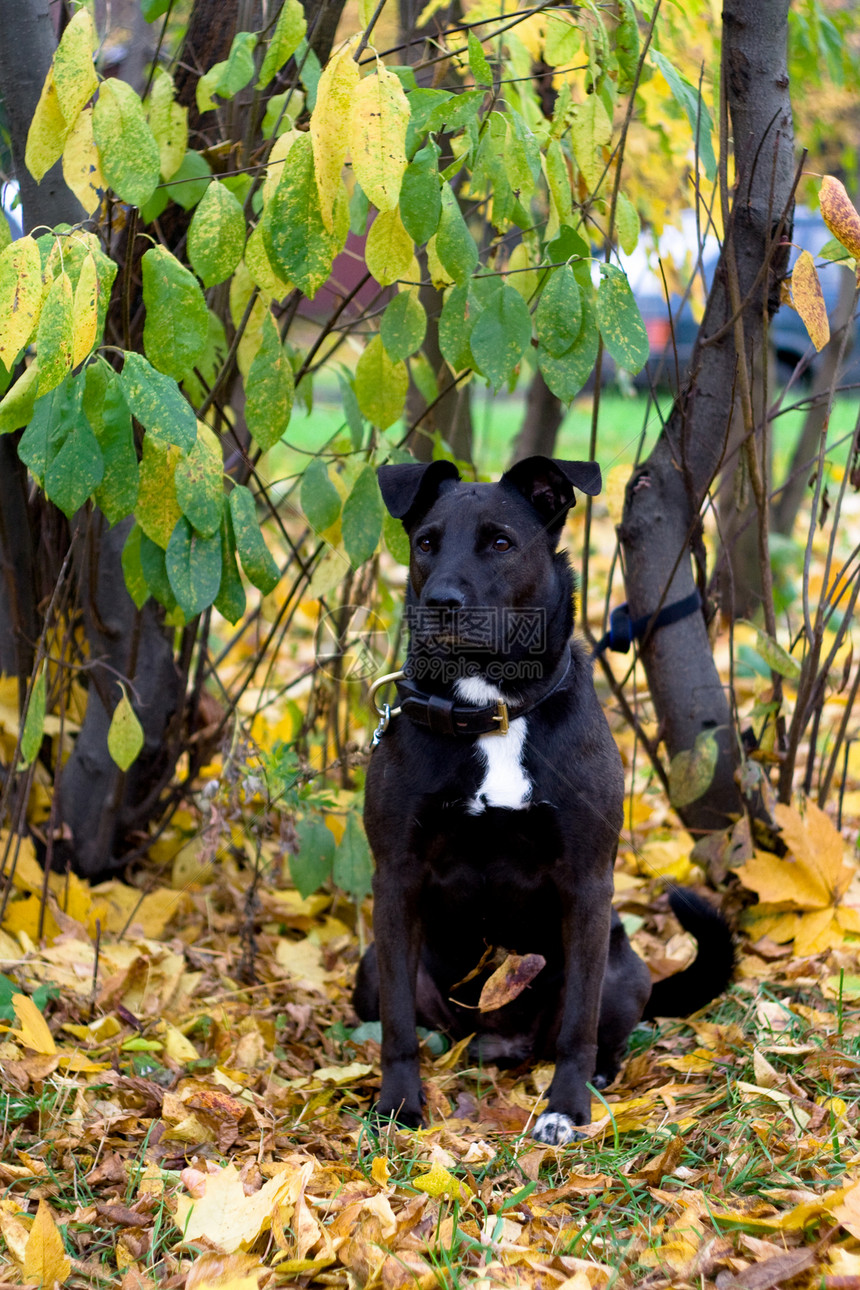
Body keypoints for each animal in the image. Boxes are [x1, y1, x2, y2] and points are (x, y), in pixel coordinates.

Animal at [355, 459, 732, 1145]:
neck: (492, 710)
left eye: (501, 543)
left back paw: (600, 1073)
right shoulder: (395, 876)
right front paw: (398, 1105)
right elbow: (395, 1024)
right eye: (425, 542)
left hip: (621, 970)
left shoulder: (586, 882)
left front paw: (566, 1107)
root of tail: (499, 1042)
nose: (440, 606)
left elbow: (578, 1024)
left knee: (595, 1027)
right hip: (374, 965)